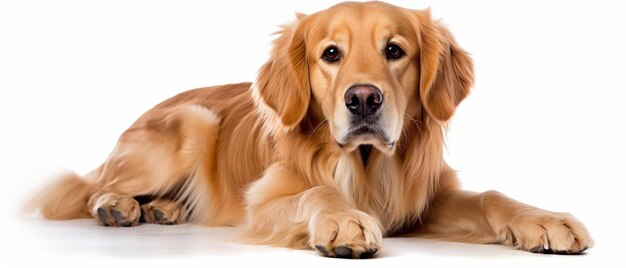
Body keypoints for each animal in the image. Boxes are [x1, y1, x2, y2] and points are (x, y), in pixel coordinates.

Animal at [30, 1, 588, 258]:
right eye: (331, 54)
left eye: (395, 50)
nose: (363, 99)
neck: (367, 166)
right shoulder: (263, 203)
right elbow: (316, 191)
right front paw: (343, 221)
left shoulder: (424, 201)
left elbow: (492, 195)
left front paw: (544, 221)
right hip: (188, 125)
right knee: (87, 187)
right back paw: (117, 206)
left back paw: (164, 209)